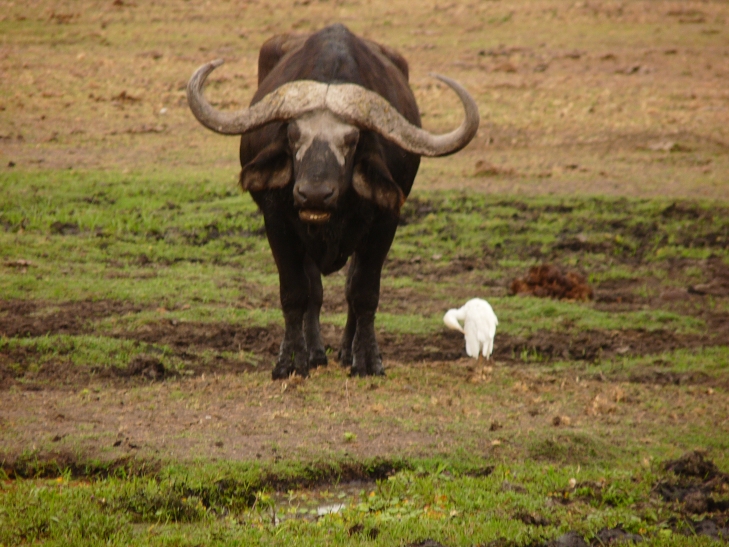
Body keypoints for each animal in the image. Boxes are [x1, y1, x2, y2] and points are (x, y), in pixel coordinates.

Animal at [187, 24, 478, 379]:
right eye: (293, 134)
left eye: (351, 139)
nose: (314, 194)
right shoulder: (277, 222)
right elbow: (296, 293)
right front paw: (291, 361)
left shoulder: (385, 223)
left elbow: (363, 291)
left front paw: (367, 360)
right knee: (314, 290)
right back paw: (315, 352)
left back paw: (345, 351)